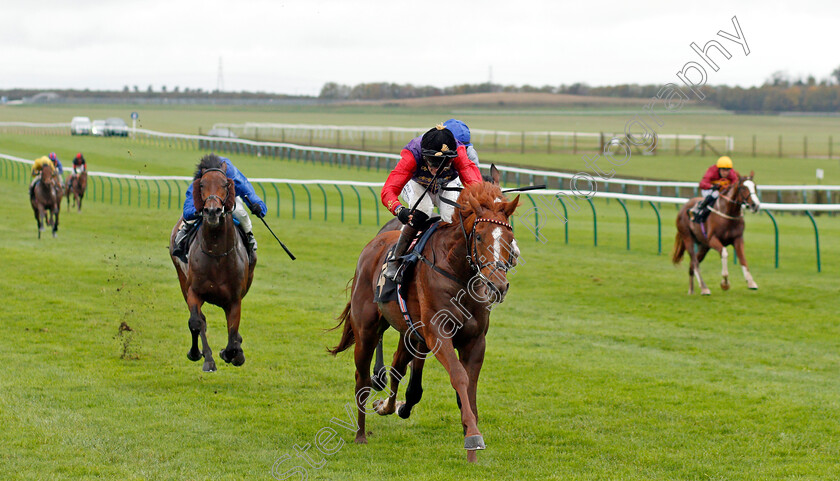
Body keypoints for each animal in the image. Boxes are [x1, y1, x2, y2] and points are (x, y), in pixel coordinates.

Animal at [166, 154, 254, 372]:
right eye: (202, 184)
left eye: (225, 183)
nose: (212, 211)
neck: (217, 255)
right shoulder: (194, 292)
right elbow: (196, 323)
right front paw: (203, 356)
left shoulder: (235, 299)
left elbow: (232, 335)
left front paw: (233, 354)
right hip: (182, 280)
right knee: (201, 321)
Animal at [328, 171, 520, 464]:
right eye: (478, 237)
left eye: (509, 235)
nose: (498, 285)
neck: (458, 272)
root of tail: (373, 245)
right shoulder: (437, 333)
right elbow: (459, 377)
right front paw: (473, 438)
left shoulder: (474, 340)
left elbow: (469, 389)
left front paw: (471, 441)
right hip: (366, 329)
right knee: (362, 377)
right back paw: (361, 433)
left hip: (408, 331)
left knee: (397, 367)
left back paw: (387, 406)